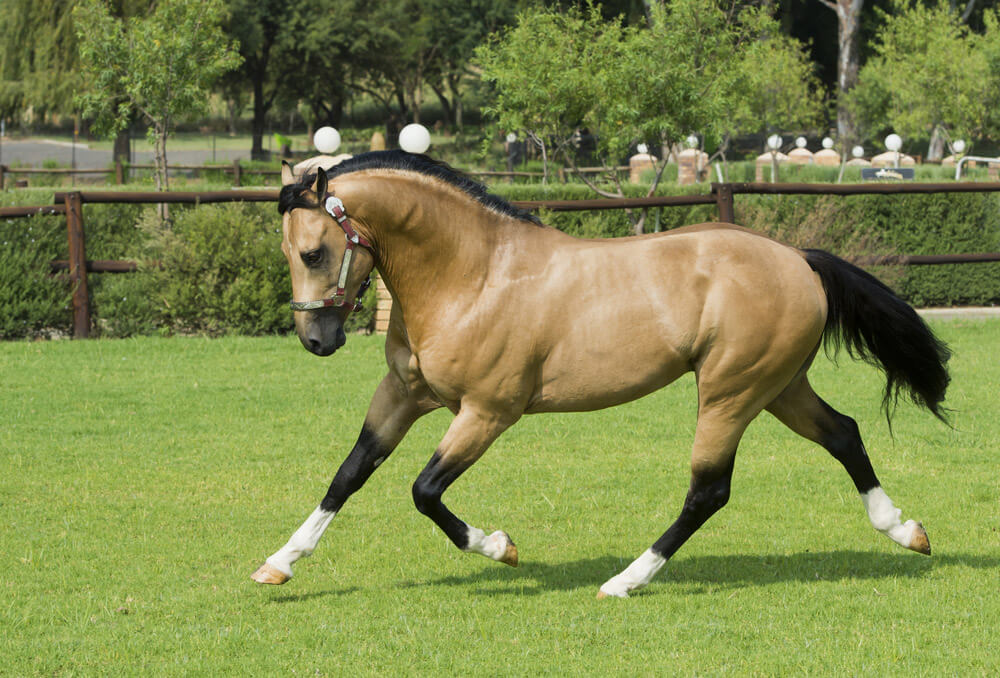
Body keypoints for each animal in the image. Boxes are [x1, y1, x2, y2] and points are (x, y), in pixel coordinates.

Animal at [252, 153, 952, 600]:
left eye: (314, 252)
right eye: (286, 252)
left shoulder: (487, 412)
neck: (473, 275)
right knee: (844, 434)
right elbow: (348, 474)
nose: (316, 341)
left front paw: (500, 546)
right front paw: (278, 564)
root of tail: (797, 259)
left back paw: (624, 581)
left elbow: (424, 491)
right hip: (780, 388)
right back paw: (905, 530)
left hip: (731, 393)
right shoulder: (403, 396)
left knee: (708, 491)